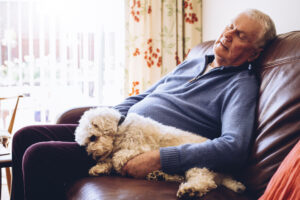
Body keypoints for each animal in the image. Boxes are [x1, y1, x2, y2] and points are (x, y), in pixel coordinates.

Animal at [74, 107, 245, 198]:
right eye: (85, 143)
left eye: (93, 137)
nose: (92, 155)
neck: (121, 128)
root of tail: (226, 174)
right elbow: (109, 157)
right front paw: (99, 167)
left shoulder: (141, 148)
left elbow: (118, 156)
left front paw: (115, 163)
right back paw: (160, 175)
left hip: (198, 165)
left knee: (205, 181)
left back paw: (190, 190)